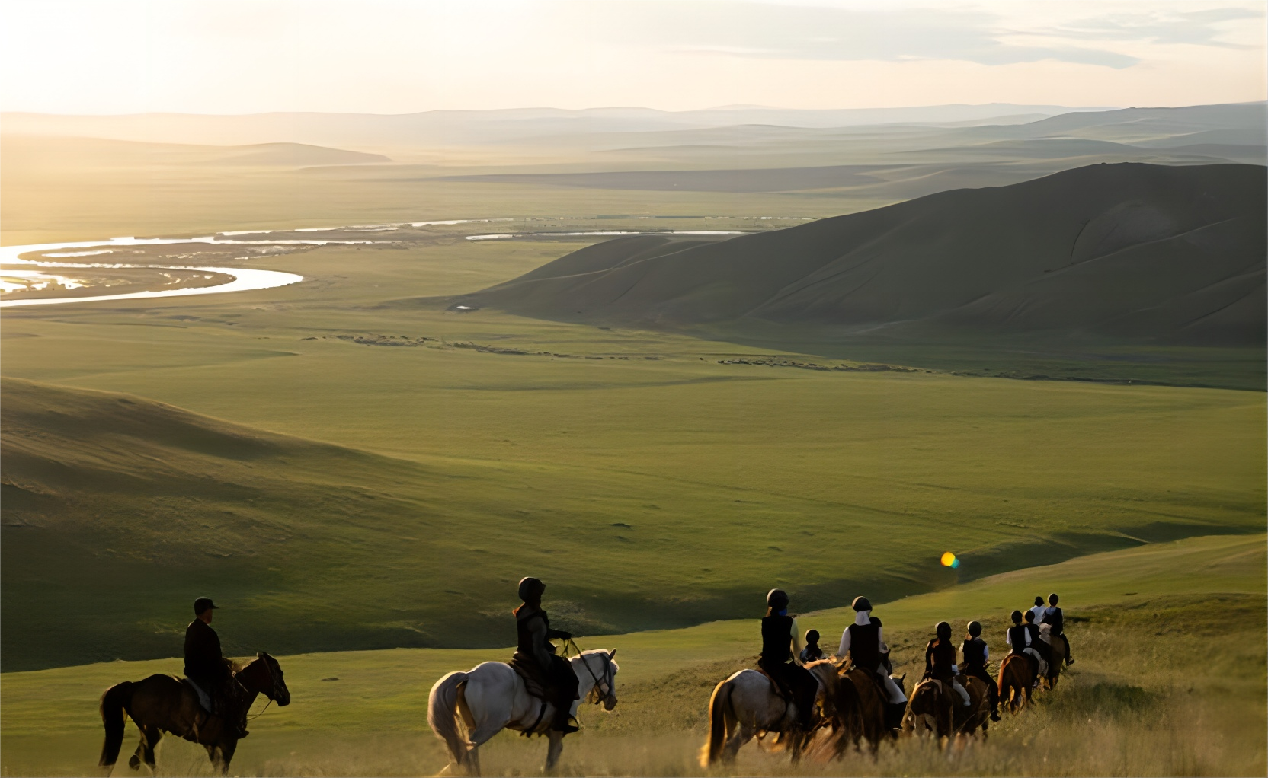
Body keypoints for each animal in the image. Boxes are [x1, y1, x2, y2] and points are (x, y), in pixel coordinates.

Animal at [96, 653, 290, 775]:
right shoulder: (227, 743)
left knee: (136, 760)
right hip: (151, 731)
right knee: (146, 759)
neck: (239, 691)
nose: (286, 697)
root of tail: (136, 685)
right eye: (278, 671)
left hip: (150, 733)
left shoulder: (211, 745)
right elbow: (223, 770)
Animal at [428, 653, 621, 775]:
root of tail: (470, 675)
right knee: (468, 751)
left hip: (473, 727)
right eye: (614, 671)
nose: (612, 701)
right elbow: (551, 761)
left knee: (469, 752)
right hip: (489, 727)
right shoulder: (557, 732)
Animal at [694, 663, 841, 770]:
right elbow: (796, 752)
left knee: (727, 747)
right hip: (748, 729)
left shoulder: (794, 730)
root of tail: (730, 682)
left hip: (731, 723)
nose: (834, 713)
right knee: (730, 749)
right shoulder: (800, 729)